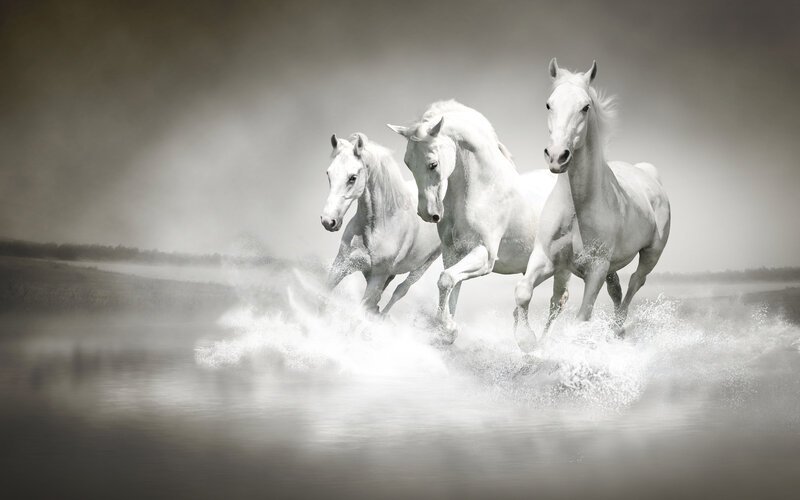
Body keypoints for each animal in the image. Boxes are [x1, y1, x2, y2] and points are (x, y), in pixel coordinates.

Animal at [320, 133, 441, 314]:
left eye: (352, 178)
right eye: (329, 174)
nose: (328, 221)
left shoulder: (377, 277)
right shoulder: (341, 264)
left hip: (424, 265)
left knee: (400, 290)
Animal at [388, 100, 567, 344]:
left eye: (433, 164)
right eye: (408, 163)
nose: (427, 214)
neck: (483, 190)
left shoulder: (485, 255)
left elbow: (445, 280)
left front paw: (448, 328)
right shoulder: (453, 253)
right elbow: (451, 286)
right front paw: (446, 330)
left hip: (562, 266)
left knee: (558, 301)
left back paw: (537, 344)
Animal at [513, 59, 671, 347]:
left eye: (585, 107)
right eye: (549, 104)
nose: (557, 156)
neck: (577, 207)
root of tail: (649, 174)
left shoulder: (596, 269)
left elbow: (582, 318)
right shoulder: (546, 258)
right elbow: (523, 291)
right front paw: (528, 341)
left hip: (651, 254)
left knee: (635, 283)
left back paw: (617, 329)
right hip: (609, 267)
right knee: (615, 289)